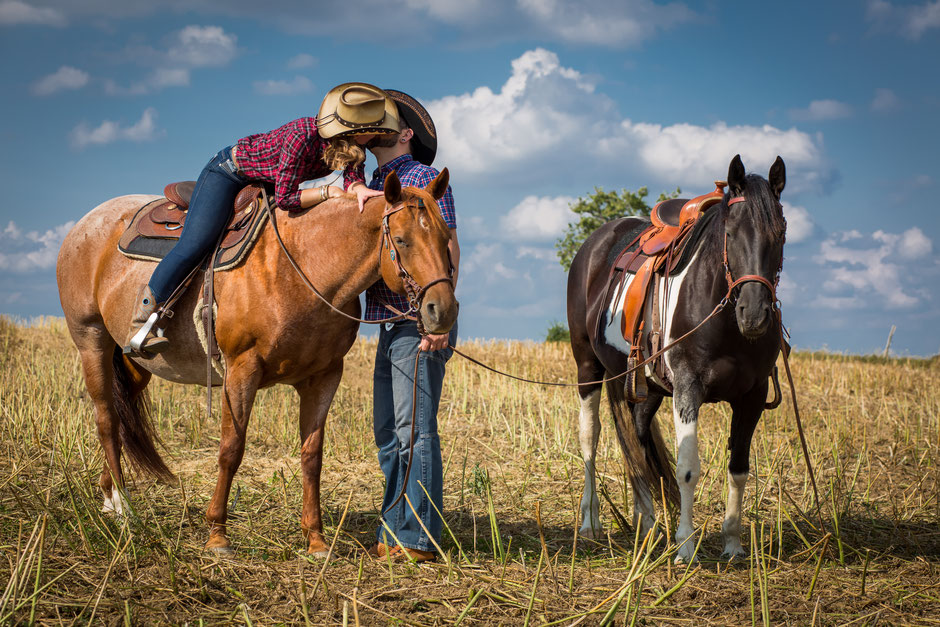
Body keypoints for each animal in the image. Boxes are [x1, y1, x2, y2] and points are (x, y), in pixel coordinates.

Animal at [55, 170, 458, 556]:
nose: (443, 311)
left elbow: (312, 456)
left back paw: (111, 498)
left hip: (134, 363)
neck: (302, 267)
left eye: (444, 239)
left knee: (121, 415)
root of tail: (85, 224)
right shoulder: (241, 370)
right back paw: (124, 507)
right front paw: (217, 535)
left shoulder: (325, 376)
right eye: (402, 241)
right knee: (106, 419)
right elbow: (231, 450)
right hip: (90, 340)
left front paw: (316, 541)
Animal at [564, 157, 784, 564]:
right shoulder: (687, 389)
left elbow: (739, 468)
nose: (754, 314)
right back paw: (590, 522)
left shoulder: (752, 397)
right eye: (730, 233)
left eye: (781, 232)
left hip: (645, 388)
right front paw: (685, 546)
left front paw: (733, 543)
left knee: (635, 440)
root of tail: (596, 241)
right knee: (590, 437)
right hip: (588, 367)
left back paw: (646, 521)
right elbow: (687, 470)